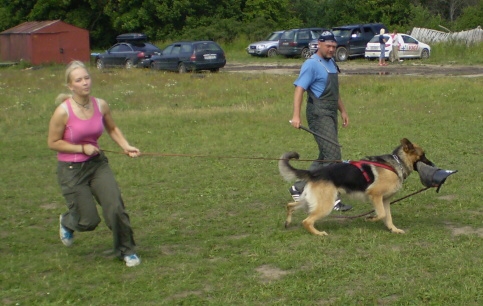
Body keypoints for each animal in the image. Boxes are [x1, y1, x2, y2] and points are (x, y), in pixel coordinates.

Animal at [280, 139, 434, 237]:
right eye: (423, 155)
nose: (433, 165)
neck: (397, 163)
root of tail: (314, 173)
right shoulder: (375, 195)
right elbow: (382, 214)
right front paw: (371, 219)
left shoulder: (385, 200)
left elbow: (388, 217)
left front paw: (393, 230)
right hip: (326, 205)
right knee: (306, 221)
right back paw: (318, 233)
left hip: (309, 201)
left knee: (290, 205)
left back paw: (287, 223)